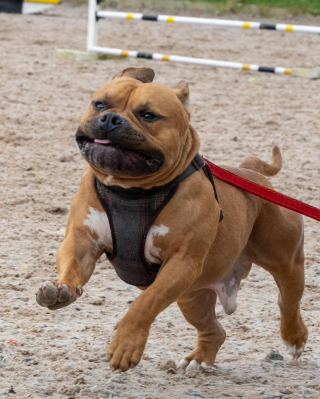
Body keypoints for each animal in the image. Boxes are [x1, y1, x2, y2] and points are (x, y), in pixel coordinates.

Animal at [35, 68, 308, 372]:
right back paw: (198, 359)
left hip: (286, 263)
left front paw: (125, 344)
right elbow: (72, 264)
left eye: (148, 115)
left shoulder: (181, 263)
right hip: (191, 295)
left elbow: (144, 303)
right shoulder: (82, 241)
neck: (131, 190)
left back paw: (294, 339)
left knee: (287, 301)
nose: (110, 118)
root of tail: (249, 173)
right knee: (215, 329)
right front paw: (61, 289)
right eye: (100, 104)